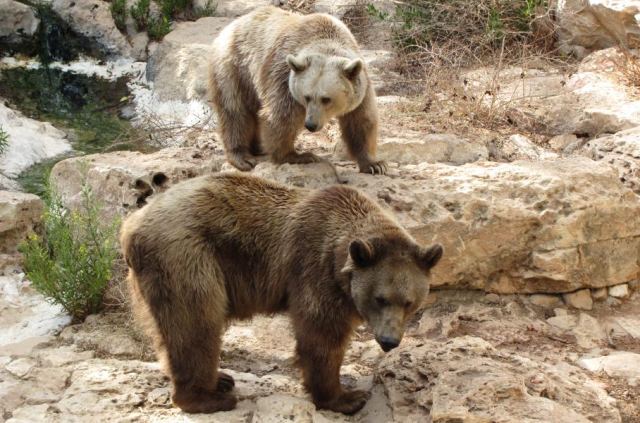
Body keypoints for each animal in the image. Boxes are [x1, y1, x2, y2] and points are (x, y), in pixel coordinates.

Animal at [120, 173, 442, 415]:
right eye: (380, 298)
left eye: (409, 302)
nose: (389, 341)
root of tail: (130, 226)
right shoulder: (315, 271)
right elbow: (321, 335)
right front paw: (347, 397)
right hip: (186, 256)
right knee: (196, 324)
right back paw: (209, 397)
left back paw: (217, 380)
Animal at [208, 6, 387, 175]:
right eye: (307, 96)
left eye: (326, 99)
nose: (311, 124)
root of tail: (232, 24)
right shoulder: (283, 77)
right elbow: (282, 116)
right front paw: (298, 155)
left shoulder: (360, 85)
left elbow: (361, 120)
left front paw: (374, 164)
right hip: (235, 68)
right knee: (235, 111)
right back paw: (242, 156)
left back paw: (257, 147)